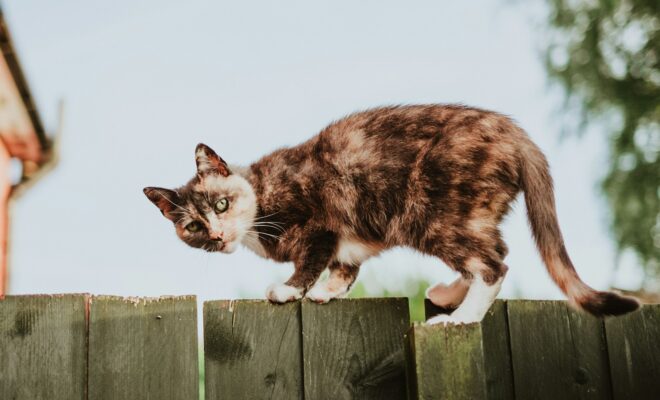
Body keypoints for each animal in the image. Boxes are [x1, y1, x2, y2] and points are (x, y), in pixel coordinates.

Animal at [144, 104, 640, 324]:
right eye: (193, 226)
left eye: (221, 203)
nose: (217, 234)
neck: (261, 194)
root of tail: (513, 130)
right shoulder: (347, 242)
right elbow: (345, 268)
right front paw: (328, 292)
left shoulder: (320, 223)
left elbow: (310, 260)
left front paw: (289, 290)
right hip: (467, 214)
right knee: (495, 250)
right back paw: (448, 294)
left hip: (431, 215)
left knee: (493, 264)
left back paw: (462, 317)